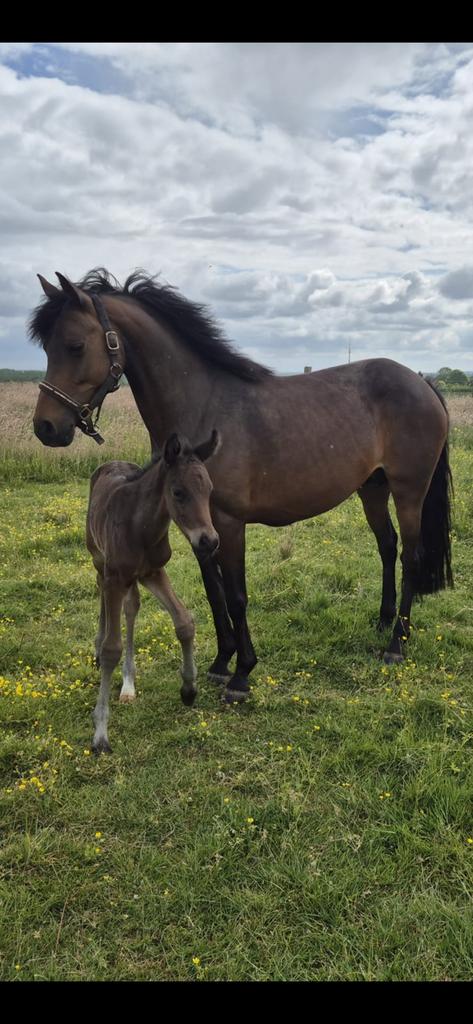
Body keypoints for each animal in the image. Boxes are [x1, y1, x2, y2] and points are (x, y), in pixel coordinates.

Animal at [31, 270, 453, 703]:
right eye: (47, 347)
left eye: (76, 346)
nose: (45, 427)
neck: (203, 405)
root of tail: (421, 382)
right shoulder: (197, 528)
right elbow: (214, 593)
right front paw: (221, 662)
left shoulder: (229, 523)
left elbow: (236, 595)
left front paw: (241, 674)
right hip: (372, 488)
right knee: (386, 545)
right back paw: (384, 621)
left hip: (409, 490)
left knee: (410, 556)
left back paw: (397, 643)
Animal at [85, 429, 220, 752]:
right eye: (178, 492)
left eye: (209, 490)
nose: (209, 541)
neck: (140, 526)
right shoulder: (115, 576)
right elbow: (111, 648)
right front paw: (100, 733)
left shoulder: (153, 572)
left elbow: (184, 622)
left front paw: (188, 688)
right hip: (98, 558)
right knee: (101, 593)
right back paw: (98, 646)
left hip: (132, 578)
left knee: (131, 607)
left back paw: (129, 683)